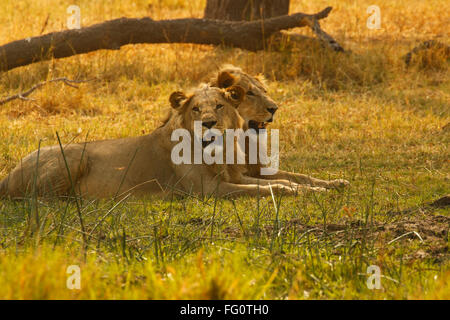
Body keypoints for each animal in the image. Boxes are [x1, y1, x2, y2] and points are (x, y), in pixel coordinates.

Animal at [0, 77, 324, 199]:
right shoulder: (207, 190)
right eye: (196, 109)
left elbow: (275, 181)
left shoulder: (236, 176)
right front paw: (299, 191)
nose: (208, 122)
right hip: (73, 154)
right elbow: (266, 188)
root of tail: (9, 174)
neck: (218, 152)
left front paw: (313, 188)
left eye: (219, 106)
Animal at [209, 65, 350, 190]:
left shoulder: (257, 169)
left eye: (264, 91)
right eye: (249, 93)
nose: (274, 108)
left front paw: (335, 182)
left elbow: (300, 176)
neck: (244, 138)